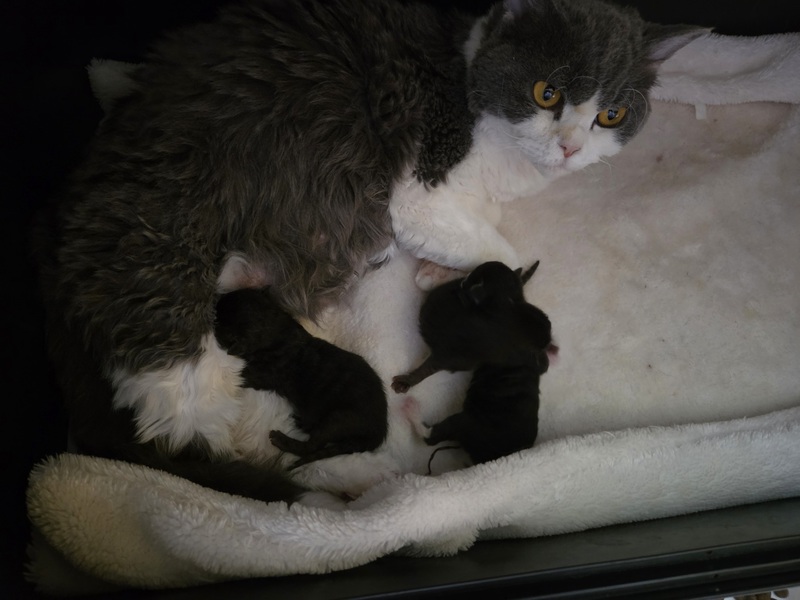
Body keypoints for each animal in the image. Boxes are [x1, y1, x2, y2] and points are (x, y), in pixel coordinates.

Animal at [214, 287, 388, 469]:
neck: (274, 332)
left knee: (312, 446)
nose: (215, 299)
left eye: (218, 321)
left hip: (340, 419)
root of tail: (379, 432)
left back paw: (281, 439)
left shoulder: (263, 374)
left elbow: (243, 375)